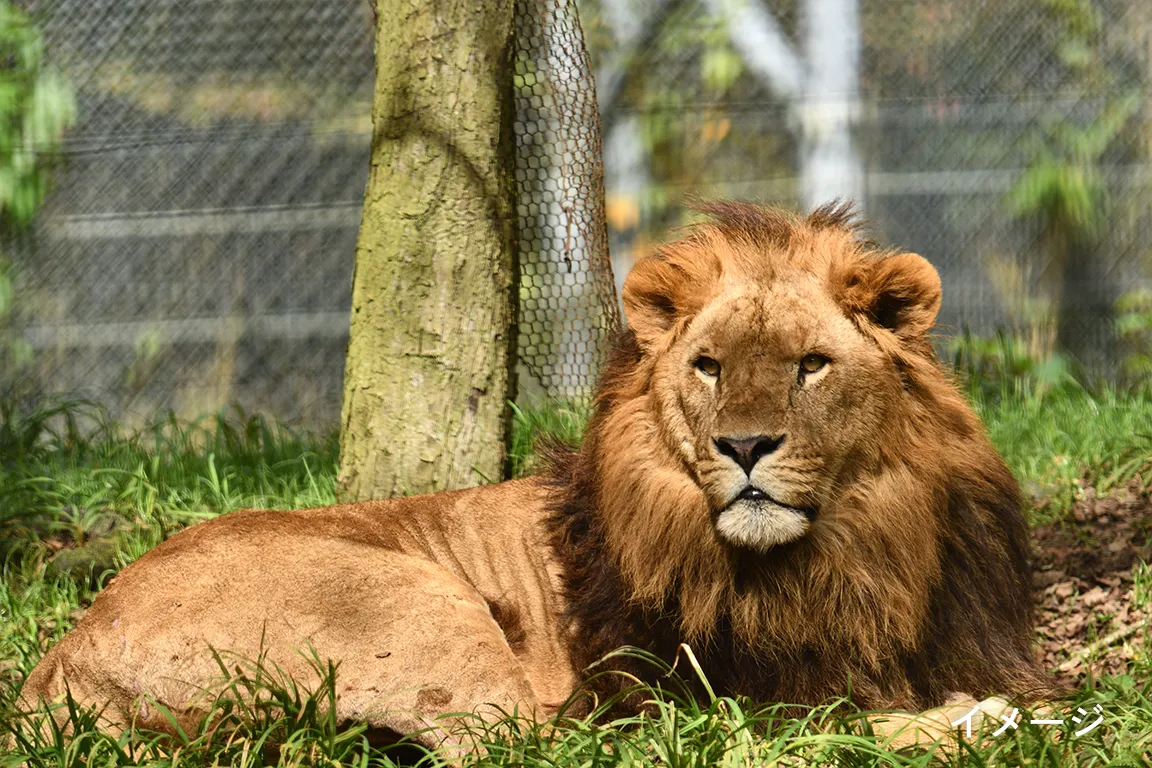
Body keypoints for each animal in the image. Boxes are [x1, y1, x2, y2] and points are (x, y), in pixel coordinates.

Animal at [18, 201, 1050, 755]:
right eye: (708, 366)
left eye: (810, 365)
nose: (745, 447)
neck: (858, 548)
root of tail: (61, 660)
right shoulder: (678, 692)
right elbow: (816, 724)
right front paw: (974, 719)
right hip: (420, 604)